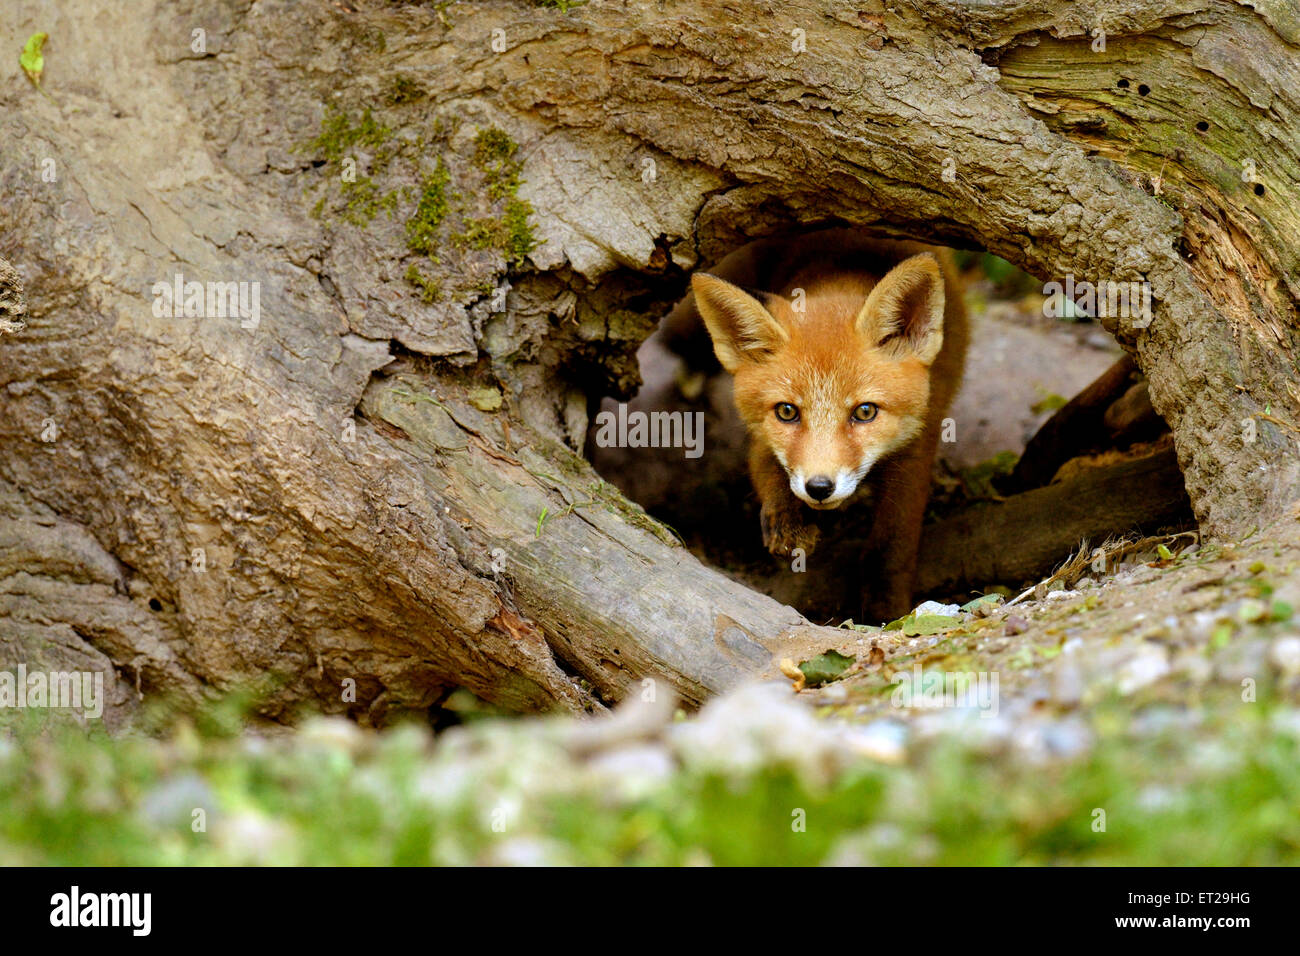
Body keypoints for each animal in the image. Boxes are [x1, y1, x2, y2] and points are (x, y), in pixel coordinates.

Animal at [673, 229, 968, 621]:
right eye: (787, 412)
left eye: (865, 412)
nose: (819, 488)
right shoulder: (762, 433)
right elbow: (766, 467)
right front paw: (786, 520)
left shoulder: (918, 441)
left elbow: (892, 546)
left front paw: (887, 610)